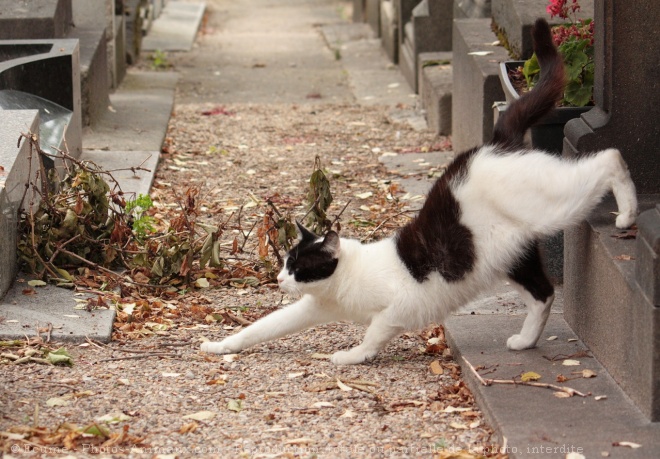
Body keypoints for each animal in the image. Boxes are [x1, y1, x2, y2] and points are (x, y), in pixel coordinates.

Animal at [200, 19, 636, 366]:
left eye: (296, 267)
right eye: (285, 264)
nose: (278, 280)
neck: (346, 281)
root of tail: (493, 143)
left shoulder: (401, 306)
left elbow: (374, 332)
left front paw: (351, 356)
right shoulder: (312, 308)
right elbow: (259, 328)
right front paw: (219, 346)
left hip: (551, 204)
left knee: (608, 158)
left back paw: (628, 212)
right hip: (510, 256)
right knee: (543, 295)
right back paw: (526, 340)